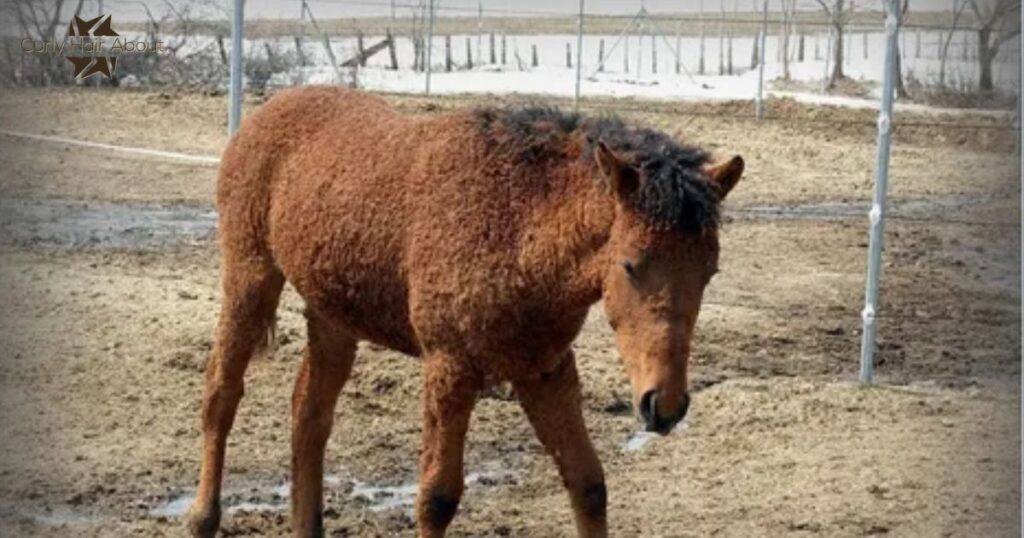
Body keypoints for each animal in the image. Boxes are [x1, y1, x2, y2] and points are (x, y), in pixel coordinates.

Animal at [184, 86, 745, 532]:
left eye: (711, 270)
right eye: (630, 265)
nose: (664, 405)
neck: (514, 224)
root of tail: (267, 109)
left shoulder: (545, 370)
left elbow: (588, 485)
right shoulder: (449, 370)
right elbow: (437, 499)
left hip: (332, 318)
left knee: (309, 415)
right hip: (251, 279)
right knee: (221, 394)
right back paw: (202, 517)